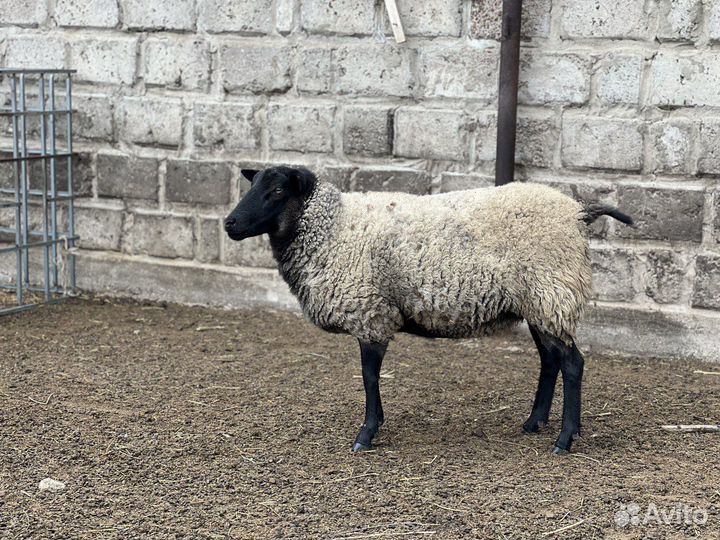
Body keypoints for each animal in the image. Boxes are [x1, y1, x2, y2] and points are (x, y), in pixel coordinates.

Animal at [224, 166, 634, 455]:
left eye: (278, 190)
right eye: (252, 185)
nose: (229, 223)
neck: (334, 228)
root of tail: (577, 212)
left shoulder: (371, 313)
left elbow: (368, 377)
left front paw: (366, 434)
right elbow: (370, 377)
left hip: (552, 292)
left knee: (572, 363)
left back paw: (564, 440)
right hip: (541, 302)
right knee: (550, 361)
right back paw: (534, 423)